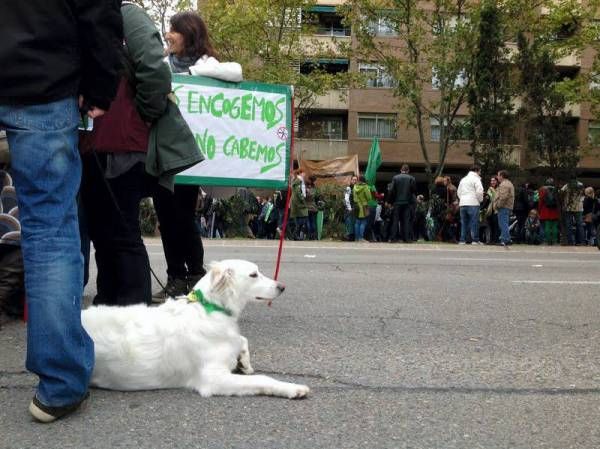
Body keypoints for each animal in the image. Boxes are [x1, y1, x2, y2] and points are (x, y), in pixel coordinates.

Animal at [81, 260, 310, 400]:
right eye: (254, 274)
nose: (282, 286)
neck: (209, 308)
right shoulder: (214, 378)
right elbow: (262, 378)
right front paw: (292, 388)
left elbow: (242, 340)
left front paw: (244, 362)